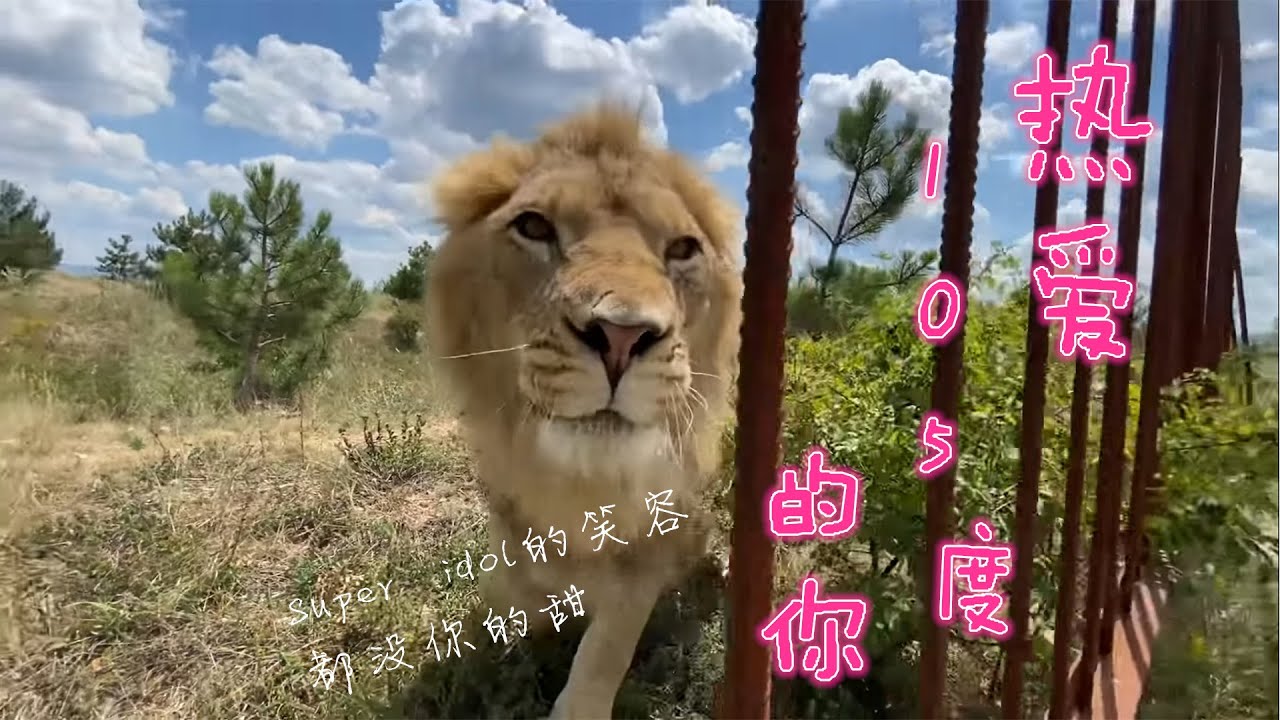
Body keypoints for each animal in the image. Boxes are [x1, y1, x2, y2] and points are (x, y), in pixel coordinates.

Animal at [425, 104, 743, 719]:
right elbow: (517, 586)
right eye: (534, 227)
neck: (581, 480)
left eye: (682, 249)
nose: (622, 336)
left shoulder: (654, 540)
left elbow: (605, 648)